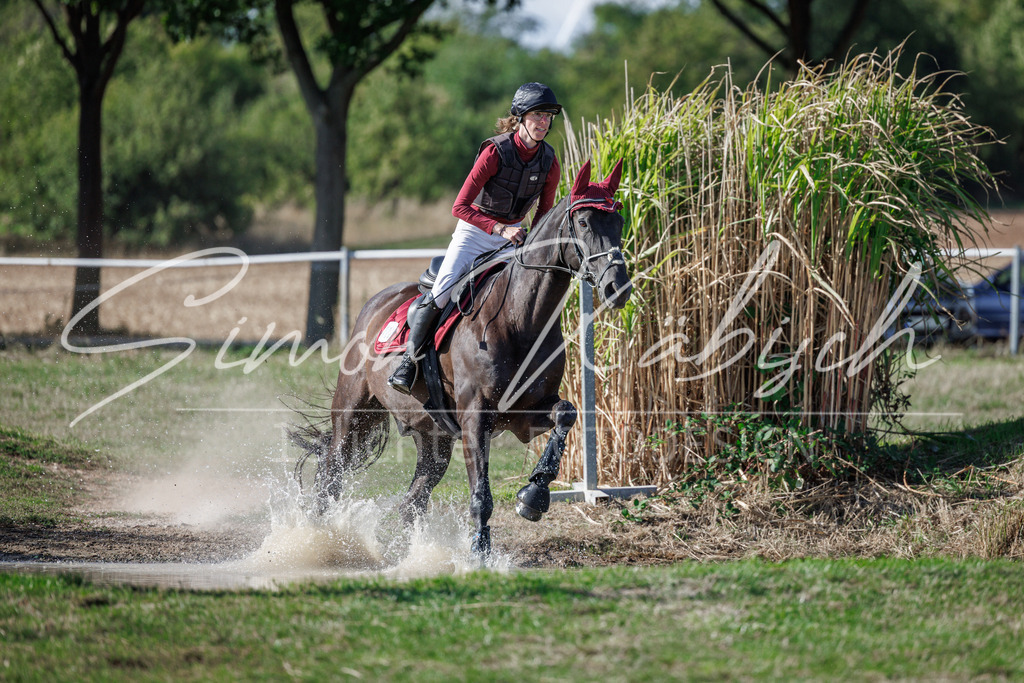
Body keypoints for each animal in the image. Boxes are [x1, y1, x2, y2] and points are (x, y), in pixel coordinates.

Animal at [292, 159, 632, 556]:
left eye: (618, 222)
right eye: (584, 222)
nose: (618, 287)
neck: (520, 319)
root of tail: (375, 303)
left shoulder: (527, 413)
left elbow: (566, 414)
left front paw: (534, 496)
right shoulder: (476, 418)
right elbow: (481, 494)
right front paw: (480, 552)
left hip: (433, 437)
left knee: (412, 502)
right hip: (353, 412)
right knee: (331, 475)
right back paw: (317, 540)